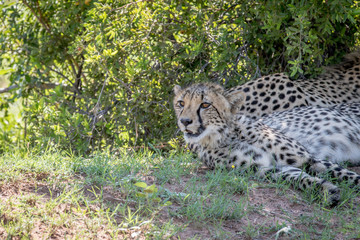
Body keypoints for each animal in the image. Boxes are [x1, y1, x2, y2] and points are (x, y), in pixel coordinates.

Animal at [173, 83, 360, 205]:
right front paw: (327, 190)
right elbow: (299, 178)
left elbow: (346, 174)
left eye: (205, 104)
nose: (185, 121)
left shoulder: (307, 158)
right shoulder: (267, 168)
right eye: (181, 103)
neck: (226, 135)